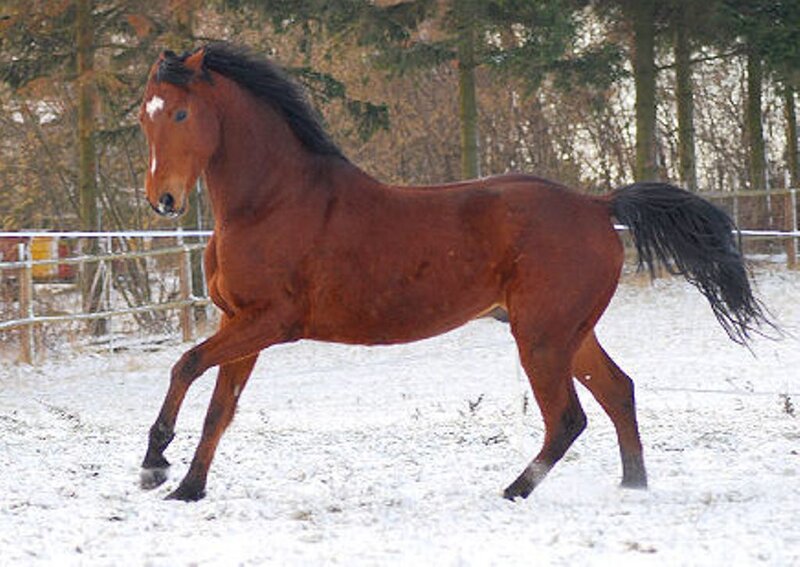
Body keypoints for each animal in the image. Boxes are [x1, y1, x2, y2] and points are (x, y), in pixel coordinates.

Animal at [137, 43, 768, 502]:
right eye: (146, 116)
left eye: (182, 112)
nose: (163, 201)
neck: (271, 202)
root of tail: (597, 205)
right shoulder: (240, 324)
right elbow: (218, 409)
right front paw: (187, 489)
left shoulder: (272, 322)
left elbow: (185, 365)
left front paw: (155, 463)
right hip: (568, 332)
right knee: (618, 392)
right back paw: (633, 487)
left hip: (541, 336)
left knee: (568, 418)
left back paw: (515, 490)